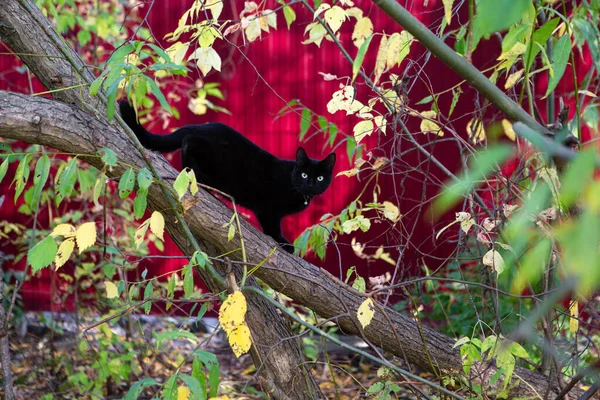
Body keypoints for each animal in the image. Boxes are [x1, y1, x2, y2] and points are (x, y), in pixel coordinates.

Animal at [117, 100, 332, 252]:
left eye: (320, 178)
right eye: (304, 174)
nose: (311, 183)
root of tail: (198, 126)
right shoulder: (268, 208)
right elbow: (272, 227)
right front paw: (284, 243)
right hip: (208, 148)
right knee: (188, 144)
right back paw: (201, 178)